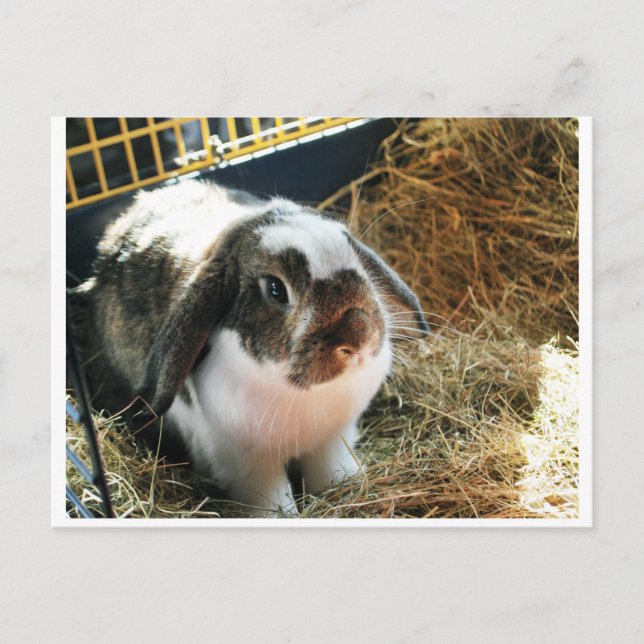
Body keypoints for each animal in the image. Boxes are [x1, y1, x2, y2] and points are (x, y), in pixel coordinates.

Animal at [76, 179, 428, 516]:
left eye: (355, 260)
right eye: (275, 289)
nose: (359, 337)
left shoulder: (331, 440)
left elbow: (332, 472)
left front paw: (348, 488)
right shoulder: (248, 464)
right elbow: (270, 500)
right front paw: (283, 516)